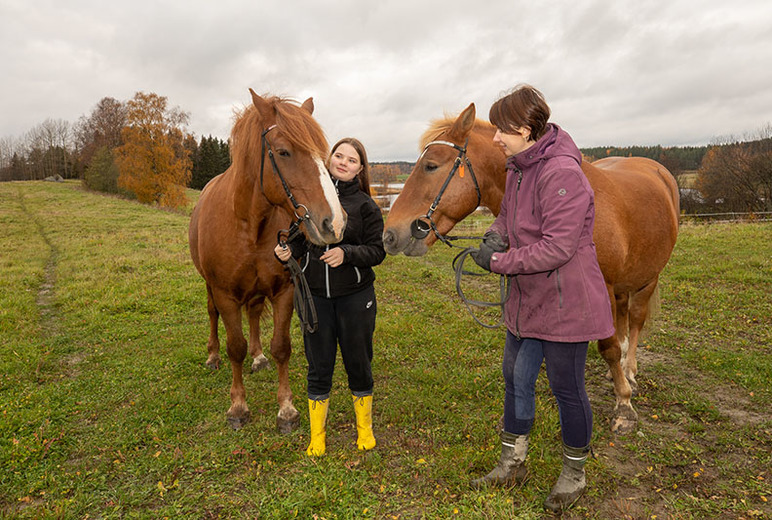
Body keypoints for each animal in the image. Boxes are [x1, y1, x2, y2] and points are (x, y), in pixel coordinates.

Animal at [188, 89, 346, 430]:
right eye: (284, 152)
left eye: (323, 153)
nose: (336, 223)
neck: (248, 224)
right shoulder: (225, 294)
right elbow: (235, 347)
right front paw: (238, 406)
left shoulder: (285, 290)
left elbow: (281, 347)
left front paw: (286, 408)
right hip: (209, 287)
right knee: (212, 314)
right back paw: (212, 356)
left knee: (255, 312)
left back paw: (258, 357)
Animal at [382, 103, 680, 432]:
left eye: (431, 166)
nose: (389, 235)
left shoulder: (603, 289)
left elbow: (609, 348)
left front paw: (624, 405)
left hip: (648, 278)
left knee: (636, 320)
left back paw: (628, 372)